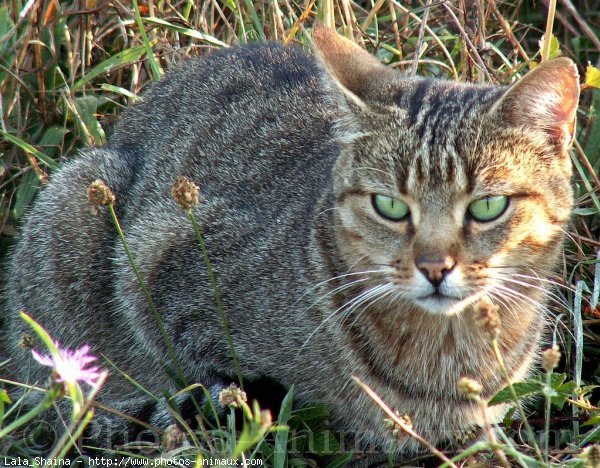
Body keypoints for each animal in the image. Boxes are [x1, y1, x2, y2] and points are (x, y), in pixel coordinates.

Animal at [2, 23, 580, 458]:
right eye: (390, 206)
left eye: (487, 207)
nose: (434, 267)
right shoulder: (158, 257)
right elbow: (213, 378)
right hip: (74, 203)